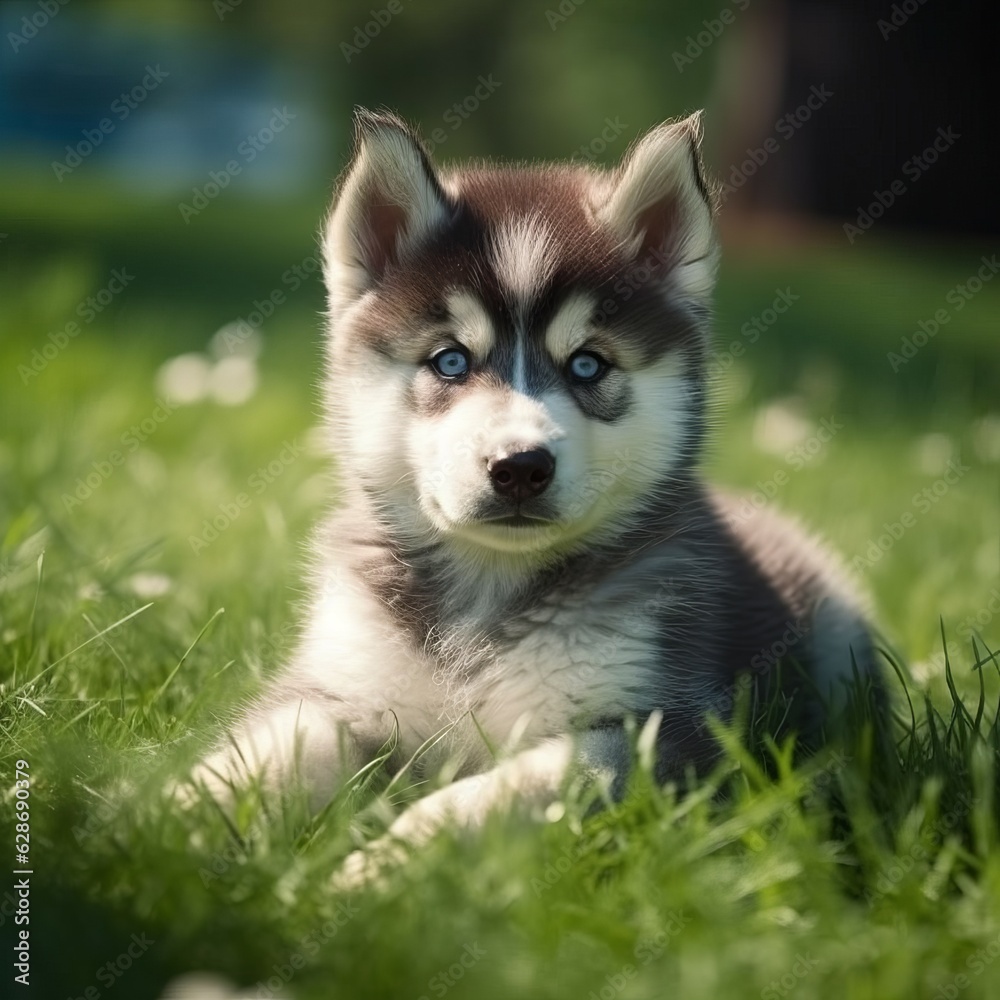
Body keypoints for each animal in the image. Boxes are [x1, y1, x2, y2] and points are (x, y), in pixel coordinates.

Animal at [189, 111, 876, 868]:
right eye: (450, 361)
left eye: (587, 365)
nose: (519, 465)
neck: (488, 592)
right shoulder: (340, 688)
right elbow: (257, 759)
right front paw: (157, 825)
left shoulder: (661, 732)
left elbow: (495, 794)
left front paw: (381, 866)